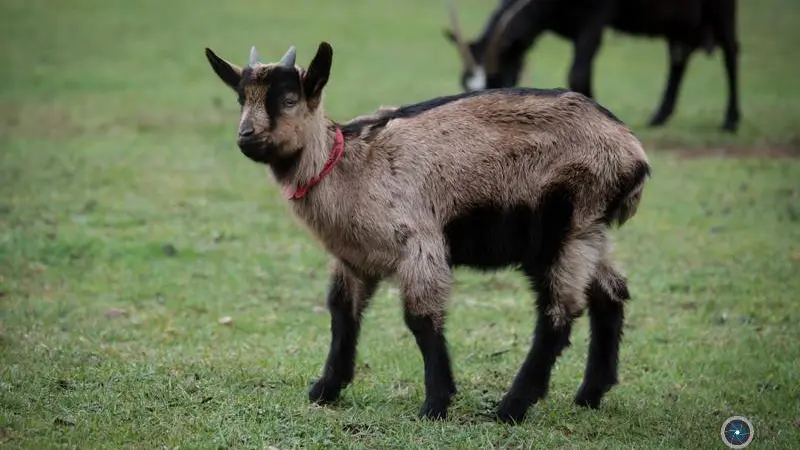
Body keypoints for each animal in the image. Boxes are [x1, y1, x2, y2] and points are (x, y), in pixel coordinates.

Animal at [205, 41, 648, 422]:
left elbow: (420, 320)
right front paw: (326, 389)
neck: (350, 165)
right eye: (242, 99)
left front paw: (436, 404)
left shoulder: (419, 244)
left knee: (558, 315)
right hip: (589, 233)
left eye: (288, 99)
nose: (245, 137)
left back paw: (512, 407)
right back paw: (590, 394)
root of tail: (634, 154)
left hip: (567, 226)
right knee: (611, 294)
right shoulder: (353, 258)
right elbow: (342, 314)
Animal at [440, 0, 740, 133]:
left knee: (730, 53)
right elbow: (583, 73)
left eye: (497, 81)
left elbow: (578, 72)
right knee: (679, 56)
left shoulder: (595, 16)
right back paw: (659, 116)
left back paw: (730, 121)